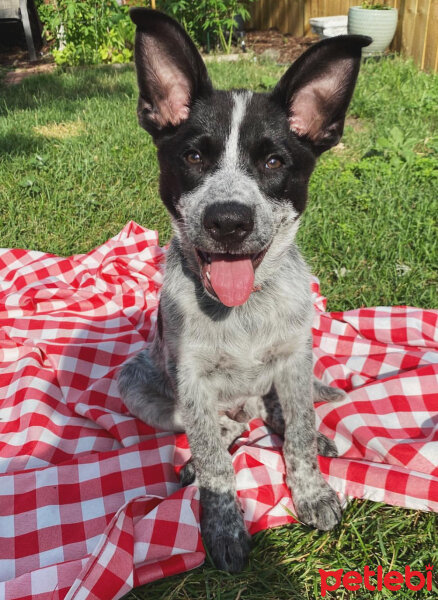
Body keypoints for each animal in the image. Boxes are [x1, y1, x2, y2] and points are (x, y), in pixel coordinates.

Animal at [118, 8, 372, 572]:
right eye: (193, 156)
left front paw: (311, 490)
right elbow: (216, 461)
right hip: (139, 388)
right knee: (222, 429)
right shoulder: (191, 381)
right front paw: (223, 523)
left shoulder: (295, 358)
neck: (243, 311)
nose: (229, 221)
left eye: (274, 162)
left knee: (279, 413)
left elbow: (297, 432)